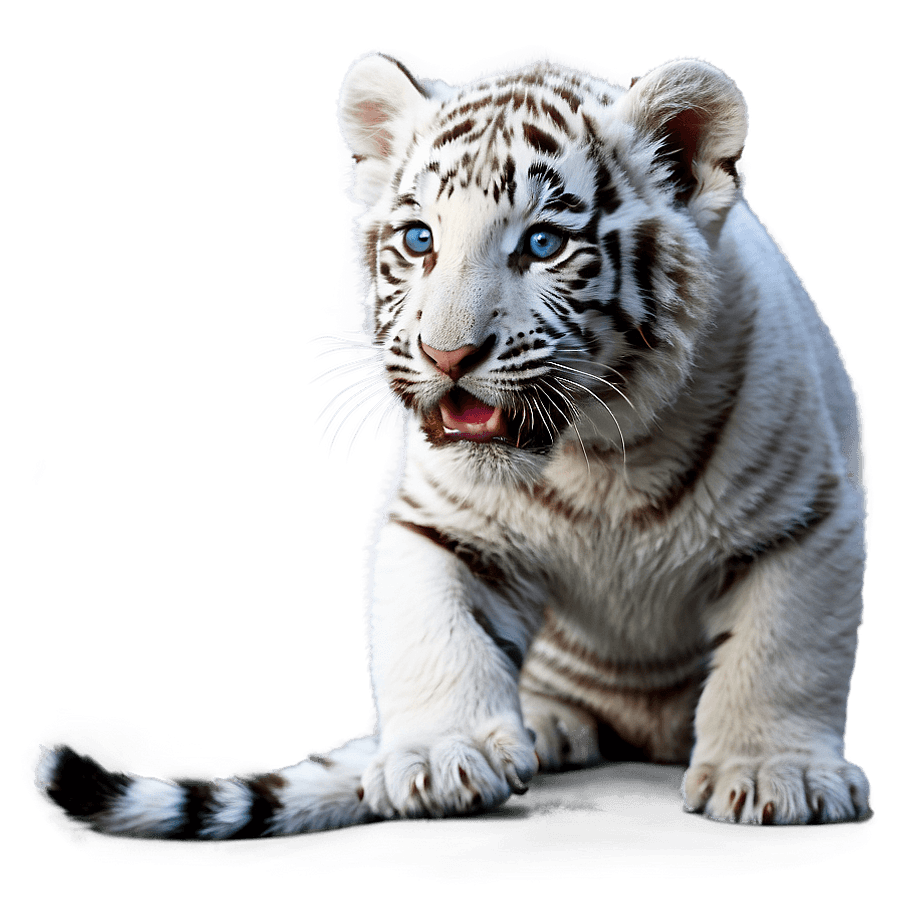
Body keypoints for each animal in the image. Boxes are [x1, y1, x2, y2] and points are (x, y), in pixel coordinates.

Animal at [27, 48, 872, 839]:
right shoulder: (436, 522)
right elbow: (434, 628)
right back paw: (546, 727)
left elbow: (781, 652)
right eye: (418, 238)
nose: (447, 355)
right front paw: (440, 759)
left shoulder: (809, 521)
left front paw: (777, 774)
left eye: (542, 245)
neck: (600, 455)